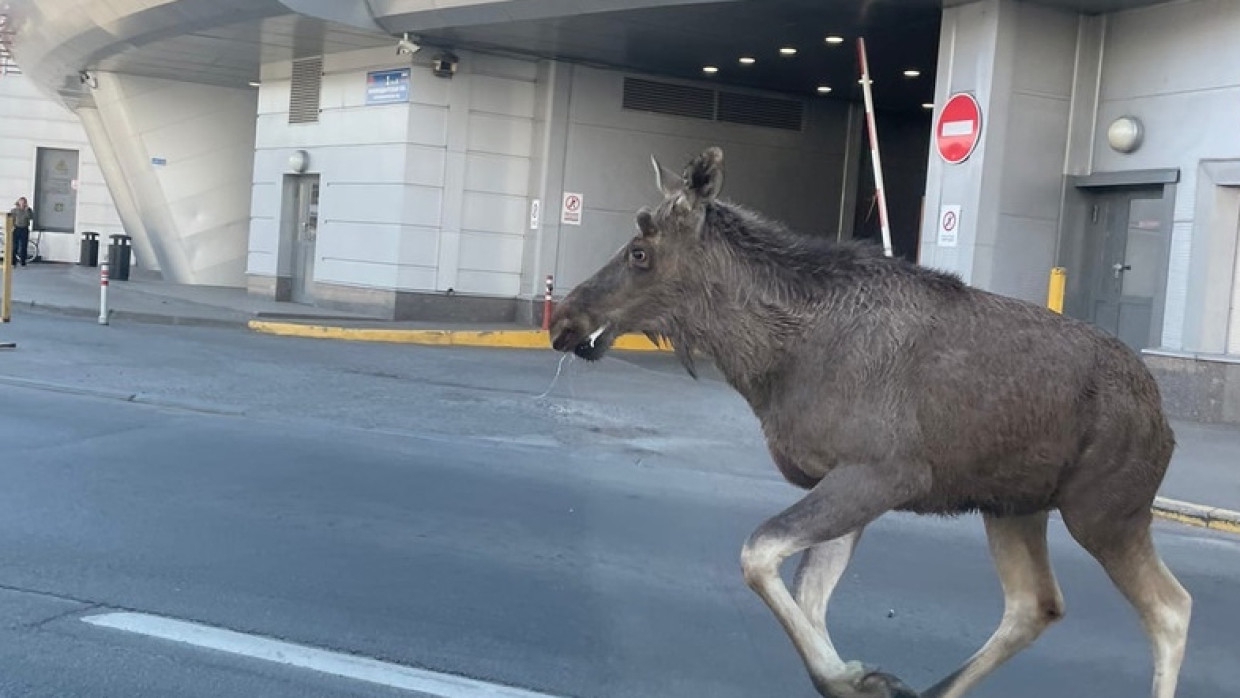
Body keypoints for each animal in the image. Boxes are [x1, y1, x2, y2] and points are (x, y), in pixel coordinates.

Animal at [550, 147, 1190, 698]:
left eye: (640, 252)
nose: (563, 318)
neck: (771, 361)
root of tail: (1161, 413)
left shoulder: (886, 472)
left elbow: (758, 553)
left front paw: (860, 677)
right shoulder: (841, 476)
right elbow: (806, 597)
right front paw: (862, 678)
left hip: (1104, 512)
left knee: (1170, 609)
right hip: (1013, 505)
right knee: (1037, 604)